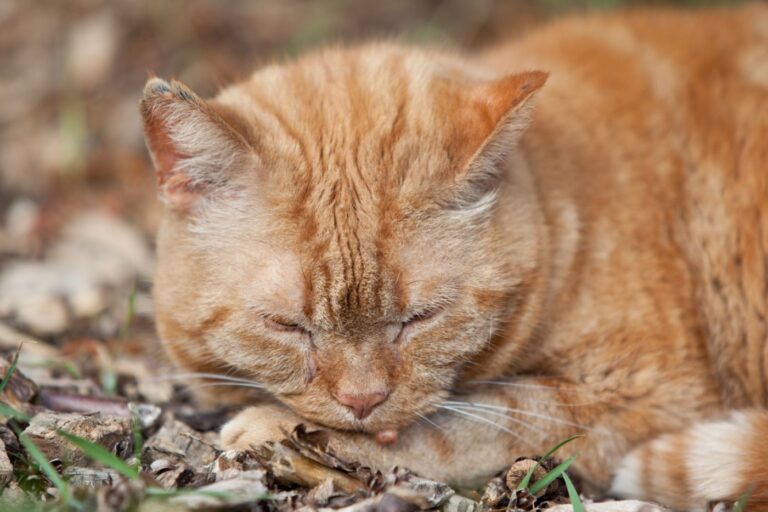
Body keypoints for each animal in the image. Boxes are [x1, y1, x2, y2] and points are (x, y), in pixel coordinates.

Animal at [142, 3, 768, 508]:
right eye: (286, 326)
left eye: (421, 319)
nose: (363, 400)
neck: (566, 209)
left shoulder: (649, 397)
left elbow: (465, 424)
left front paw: (275, 432)